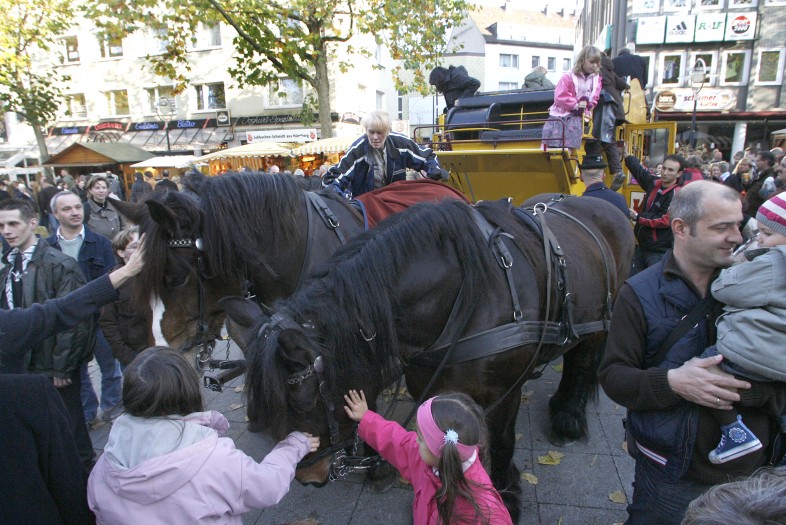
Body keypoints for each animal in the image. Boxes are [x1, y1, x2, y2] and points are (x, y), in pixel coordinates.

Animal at [222, 195, 635, 522]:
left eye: (304, 399)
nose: (307, 476)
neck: (467, 294)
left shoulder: (505, 392)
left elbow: (502, 440)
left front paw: (506, 496)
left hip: (604, 316)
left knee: (583, 362)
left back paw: (567, 415)